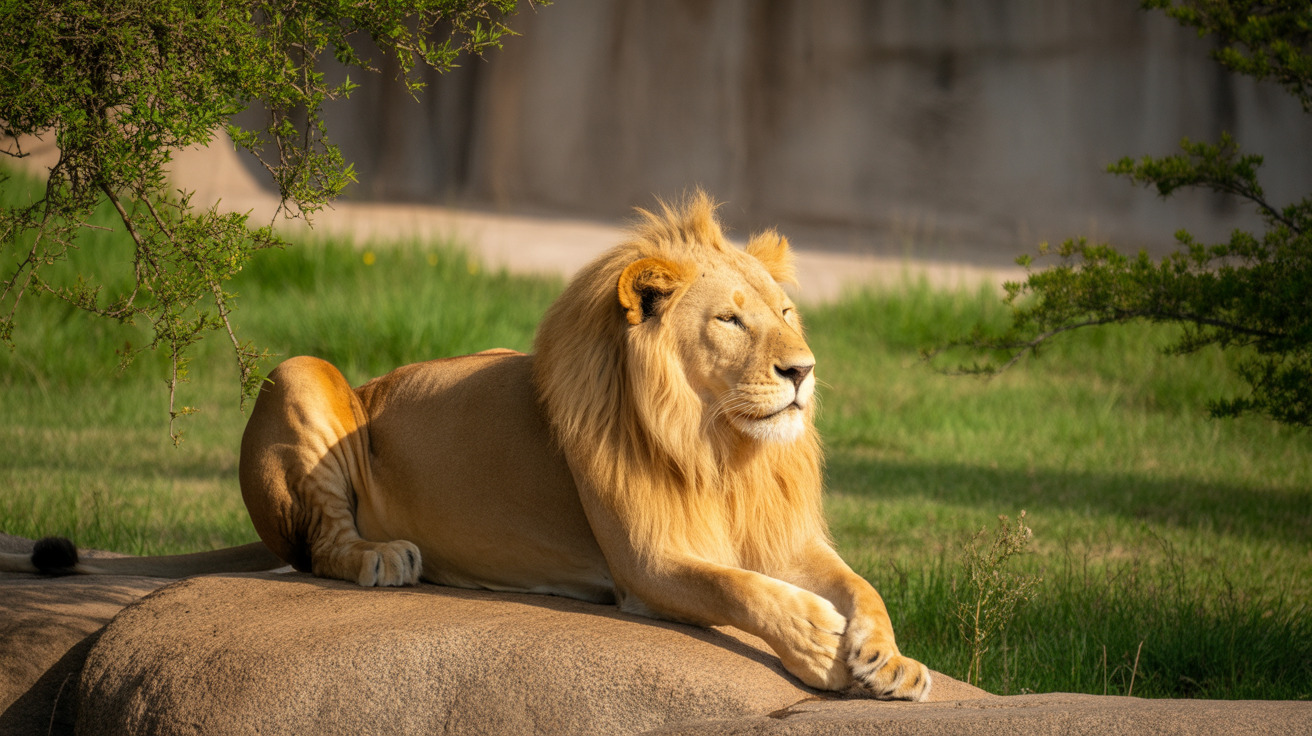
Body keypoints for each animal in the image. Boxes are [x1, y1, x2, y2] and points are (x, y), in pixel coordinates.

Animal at [3, 193, 931, 701]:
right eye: (731, 320)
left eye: (787, 312)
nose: (802, 369)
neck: (726, 449)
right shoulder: (646, 565)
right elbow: (743, 590)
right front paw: (818, 643)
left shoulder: (785, 537)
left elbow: (861, 585)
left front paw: (889, 658)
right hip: (302, 375)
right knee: (317, 546)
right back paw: (387, 558)